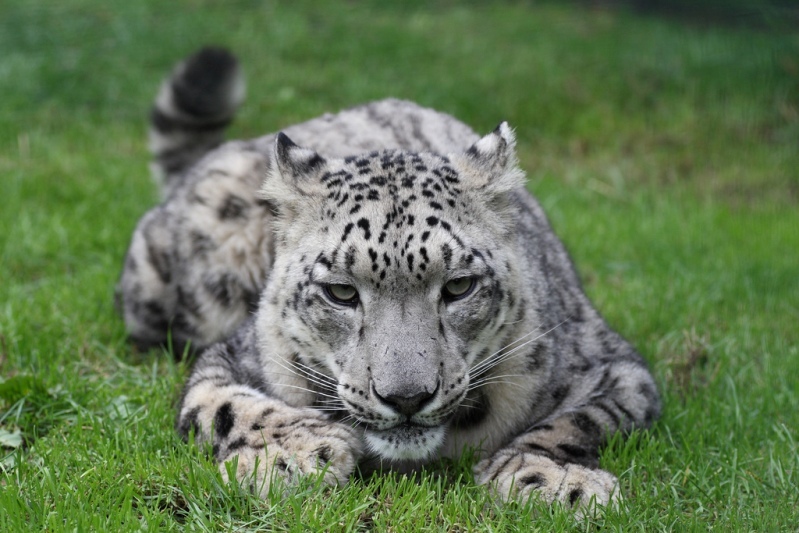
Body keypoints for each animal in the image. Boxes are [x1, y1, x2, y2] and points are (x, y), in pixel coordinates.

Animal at [115, 47, 660, 510]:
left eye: (459, 286)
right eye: (340, 292)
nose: (406, 398)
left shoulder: (615, 368)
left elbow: (578, 419)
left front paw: (554, 478)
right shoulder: (236, 357)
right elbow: (222, 404)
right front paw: (296, 454)